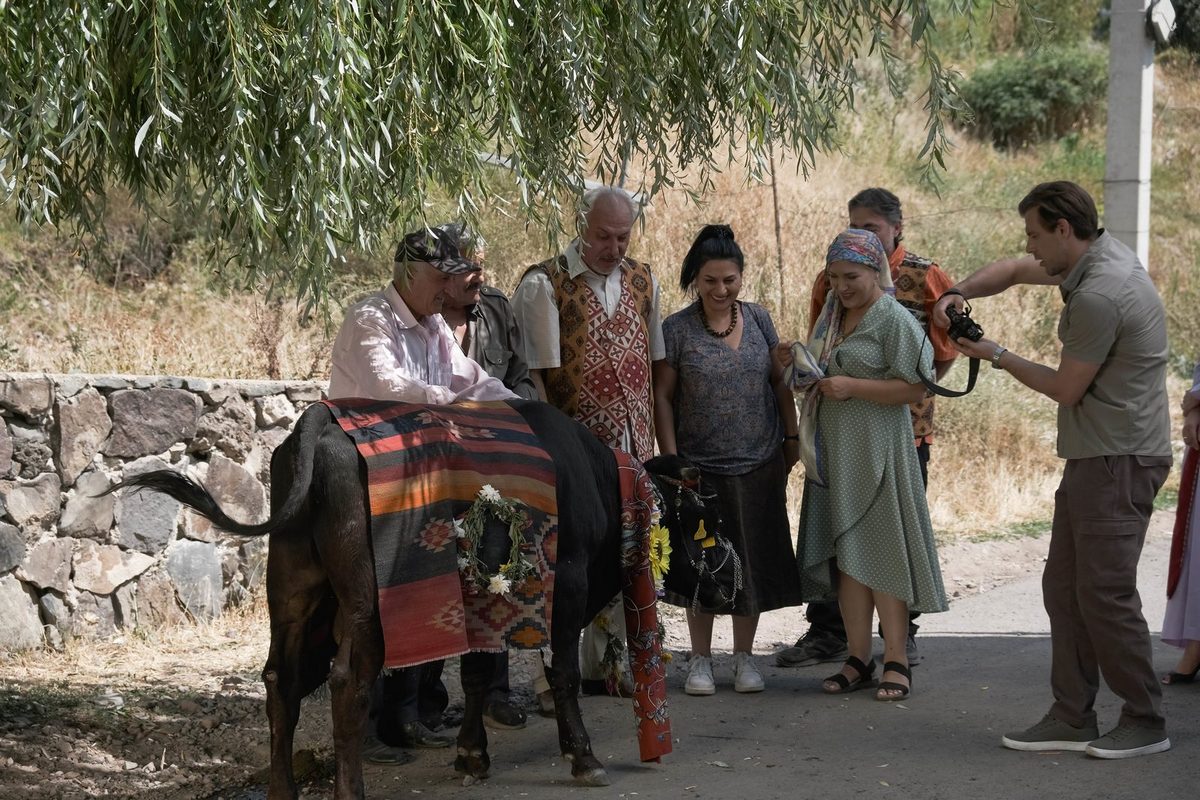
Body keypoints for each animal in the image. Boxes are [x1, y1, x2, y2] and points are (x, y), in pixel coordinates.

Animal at [112, 402, 705, 800]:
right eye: (693, 516)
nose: (706, 584)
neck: (596, 481)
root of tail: (321, 420)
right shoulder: (567, 585)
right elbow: (559, 673)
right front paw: (582, 756)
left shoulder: (483, 605)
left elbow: (474, 674)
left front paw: (471, 755)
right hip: (366, 609)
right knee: (347, 683)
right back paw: (350, 792)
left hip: (295, 593)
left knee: (280, 679)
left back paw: (284, 792)